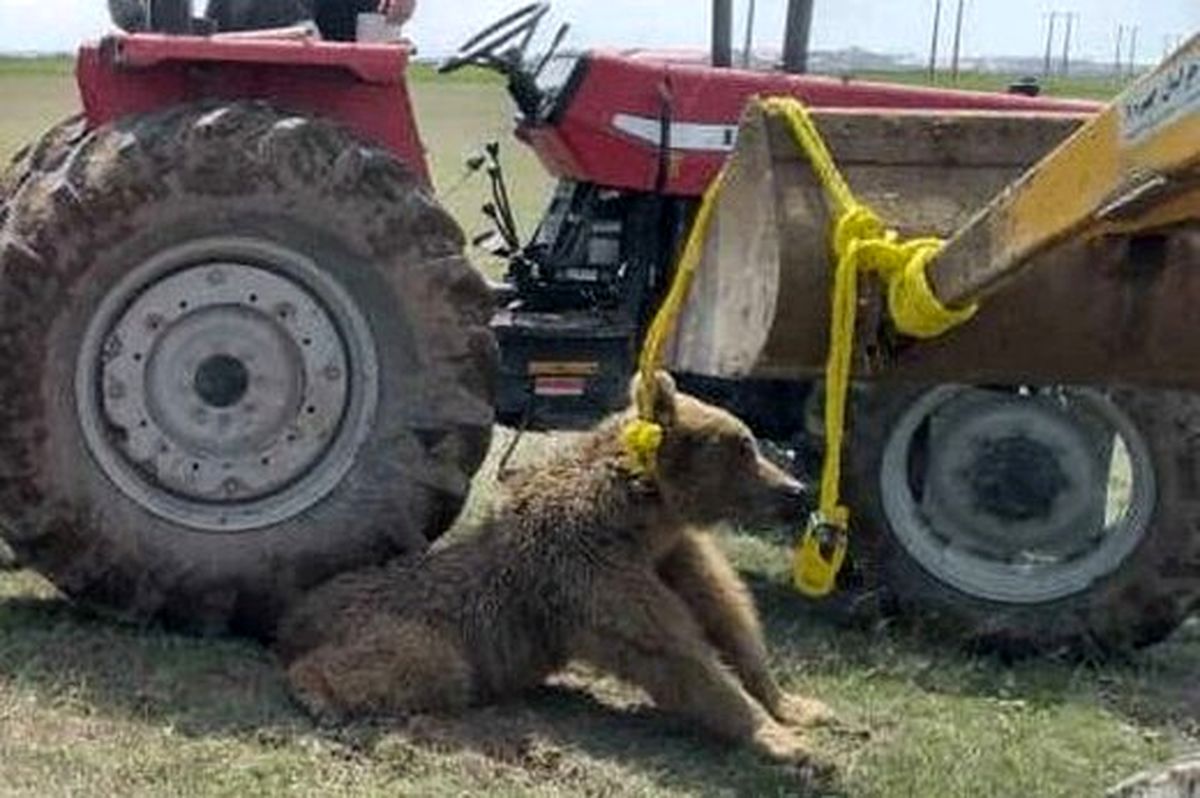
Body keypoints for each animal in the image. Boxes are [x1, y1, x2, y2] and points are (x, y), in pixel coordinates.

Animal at [276, 369, 830, 763]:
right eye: (743, 444)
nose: (796, 491)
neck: (641, 516)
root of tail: (295, 611)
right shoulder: (591, 570)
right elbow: (675, 652)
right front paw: (784, 742)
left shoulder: (671, 556)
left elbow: (729, 619)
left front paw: (798, 708)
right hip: (408, 625)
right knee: (426, 667)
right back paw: (316, 693)